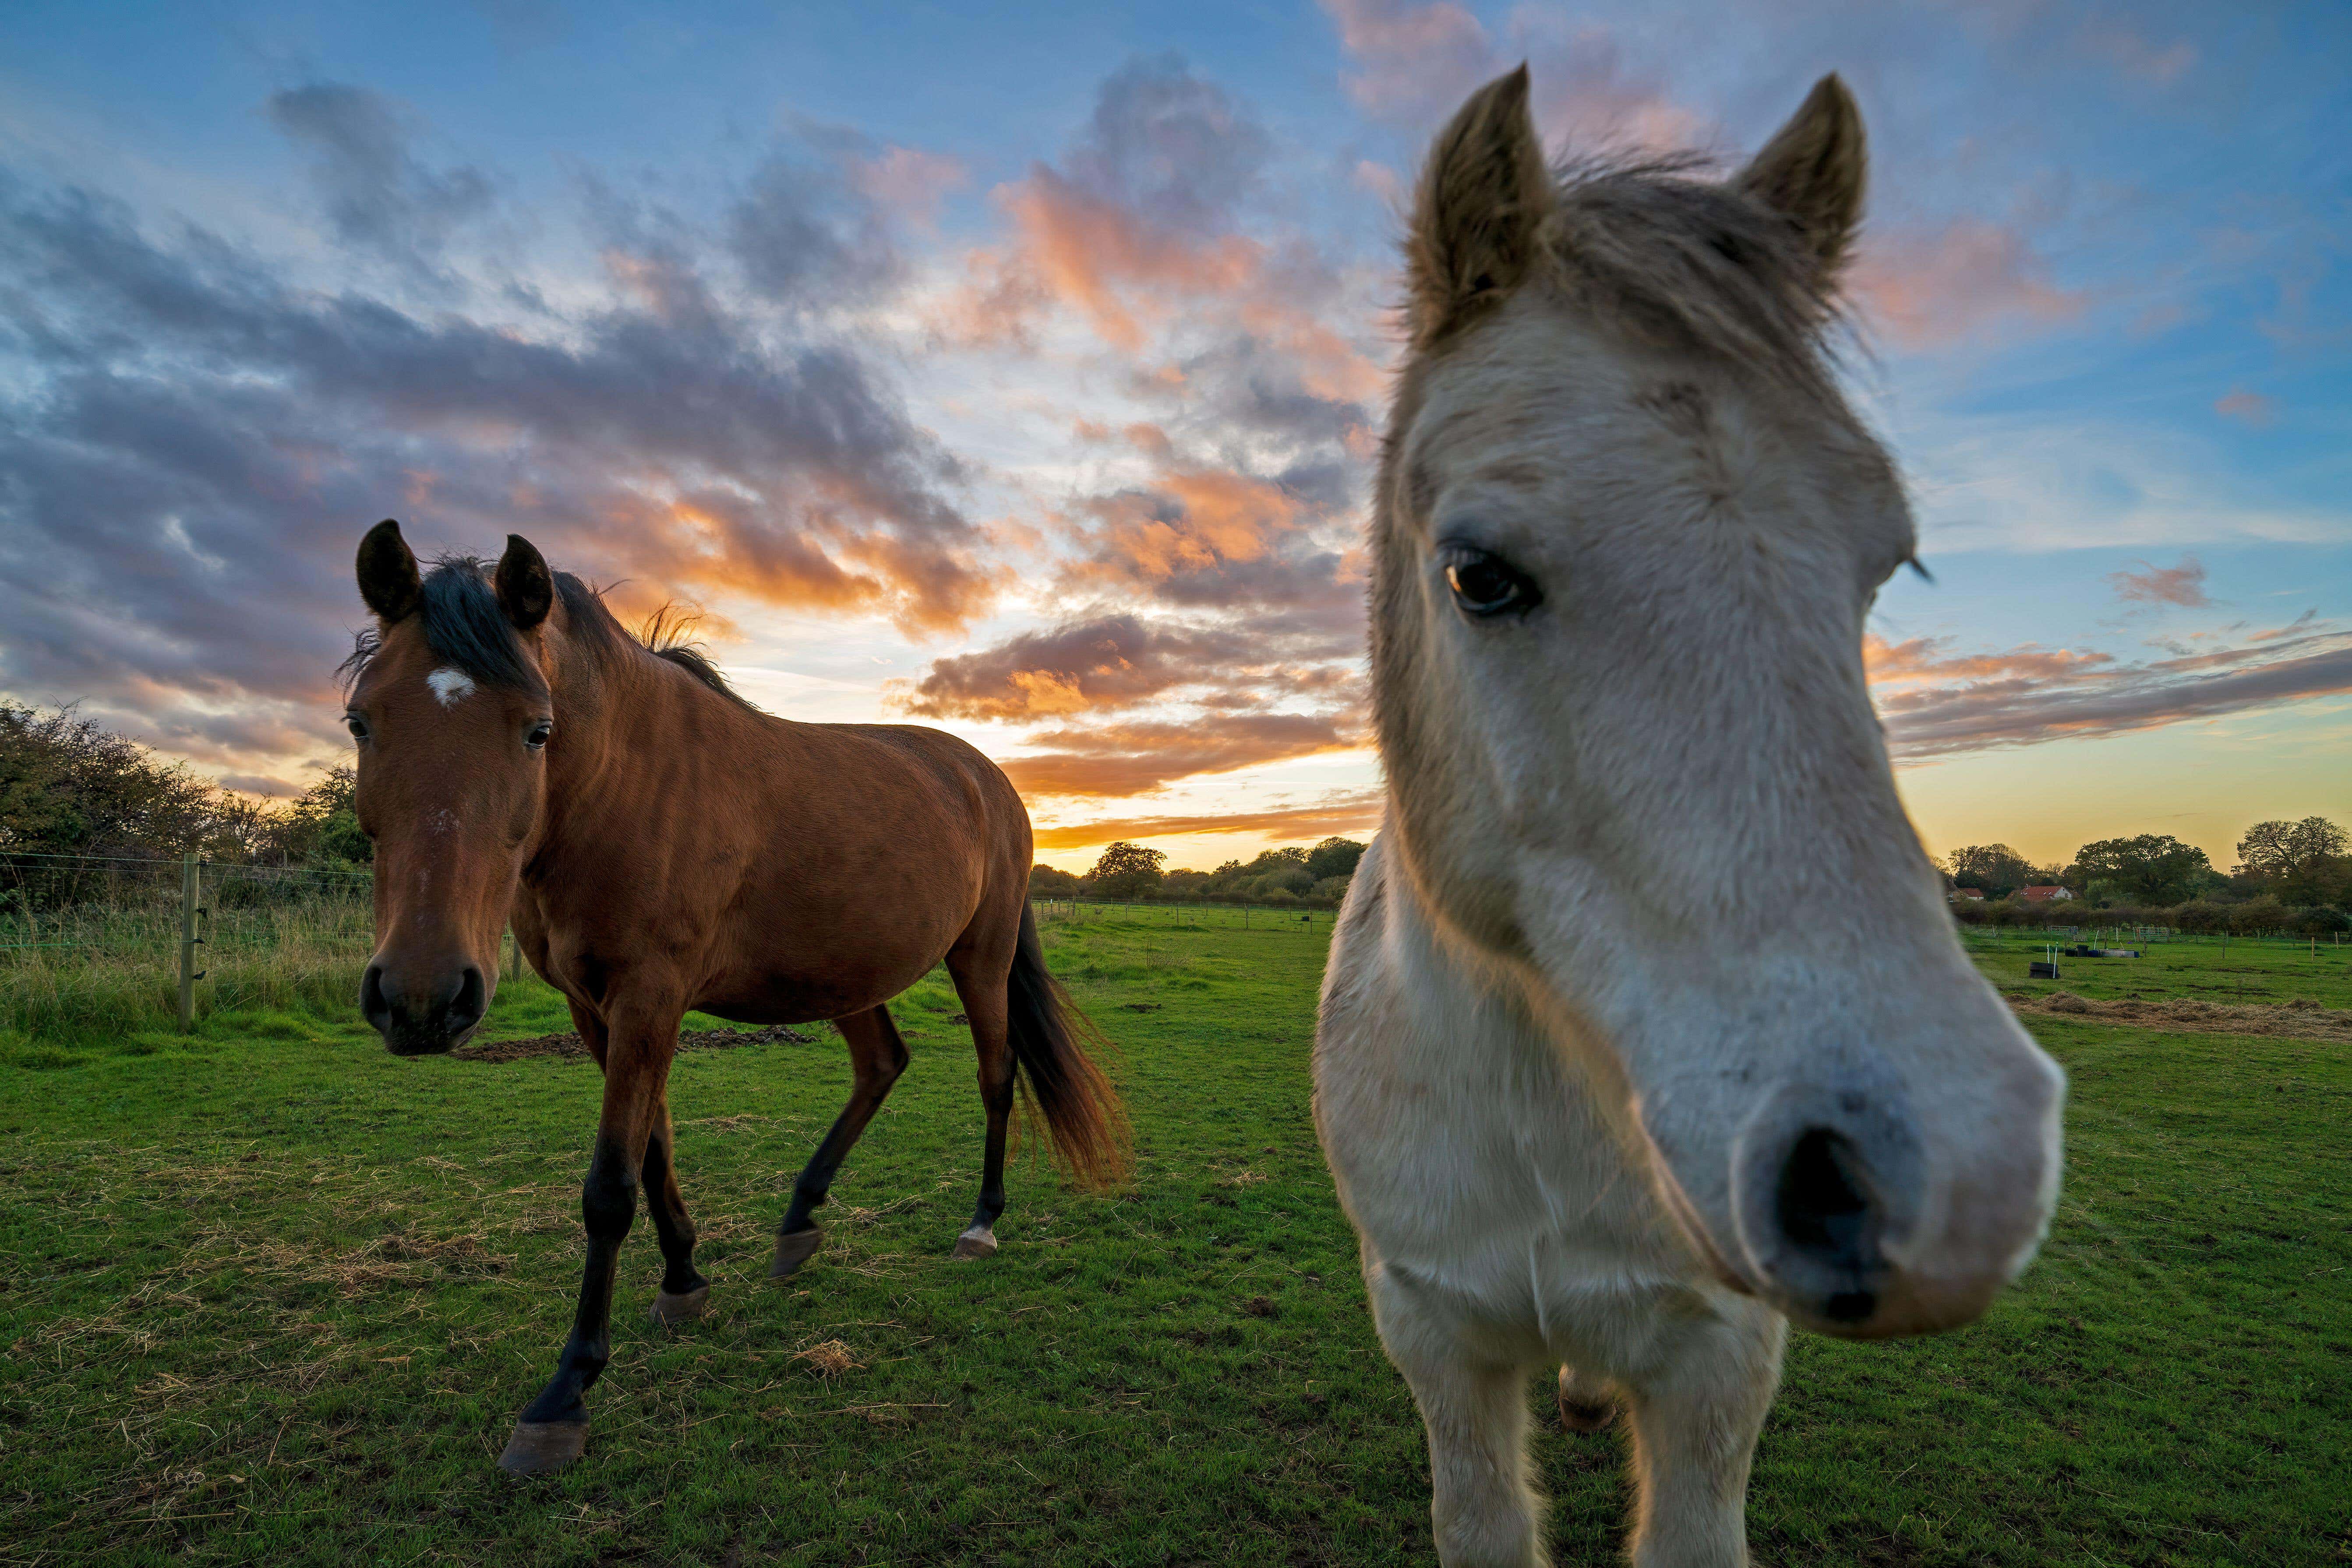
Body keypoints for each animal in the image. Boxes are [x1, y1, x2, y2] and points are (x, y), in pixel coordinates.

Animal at [339, 522, 1129, 1476]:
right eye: (361, 720)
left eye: (537, 730)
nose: (420, 997)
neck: (622, 785)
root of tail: (990, 780)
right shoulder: (596, 1008)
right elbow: (653, 1151)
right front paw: (685, 1281)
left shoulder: (650, 996)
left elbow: (610, 1185)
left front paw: (567, 1391)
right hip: (844, 970)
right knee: (882, 1065)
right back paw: (799, 1220)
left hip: (980, 956)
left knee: (996, 1075)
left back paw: (981, 1222)